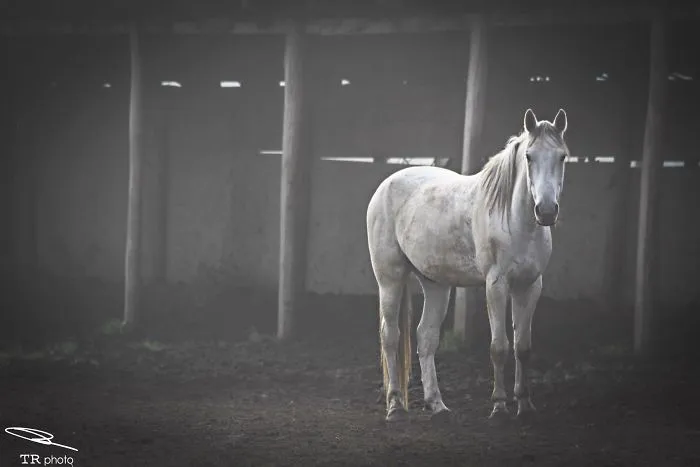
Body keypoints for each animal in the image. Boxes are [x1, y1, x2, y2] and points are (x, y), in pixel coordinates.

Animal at [366, 108, 569, 422]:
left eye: (562, 157)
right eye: (529, 156)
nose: (546, 211)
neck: (514, 219)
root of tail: (385, 186)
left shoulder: (530, 285)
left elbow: (522, 347)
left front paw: (525, 404)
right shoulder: (496, 285)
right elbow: (499, 347)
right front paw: (499, 406)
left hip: (436, 284)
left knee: (425, 336)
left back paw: (436, 403)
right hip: (389, 278)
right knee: (390, 336)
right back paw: (395, 406)